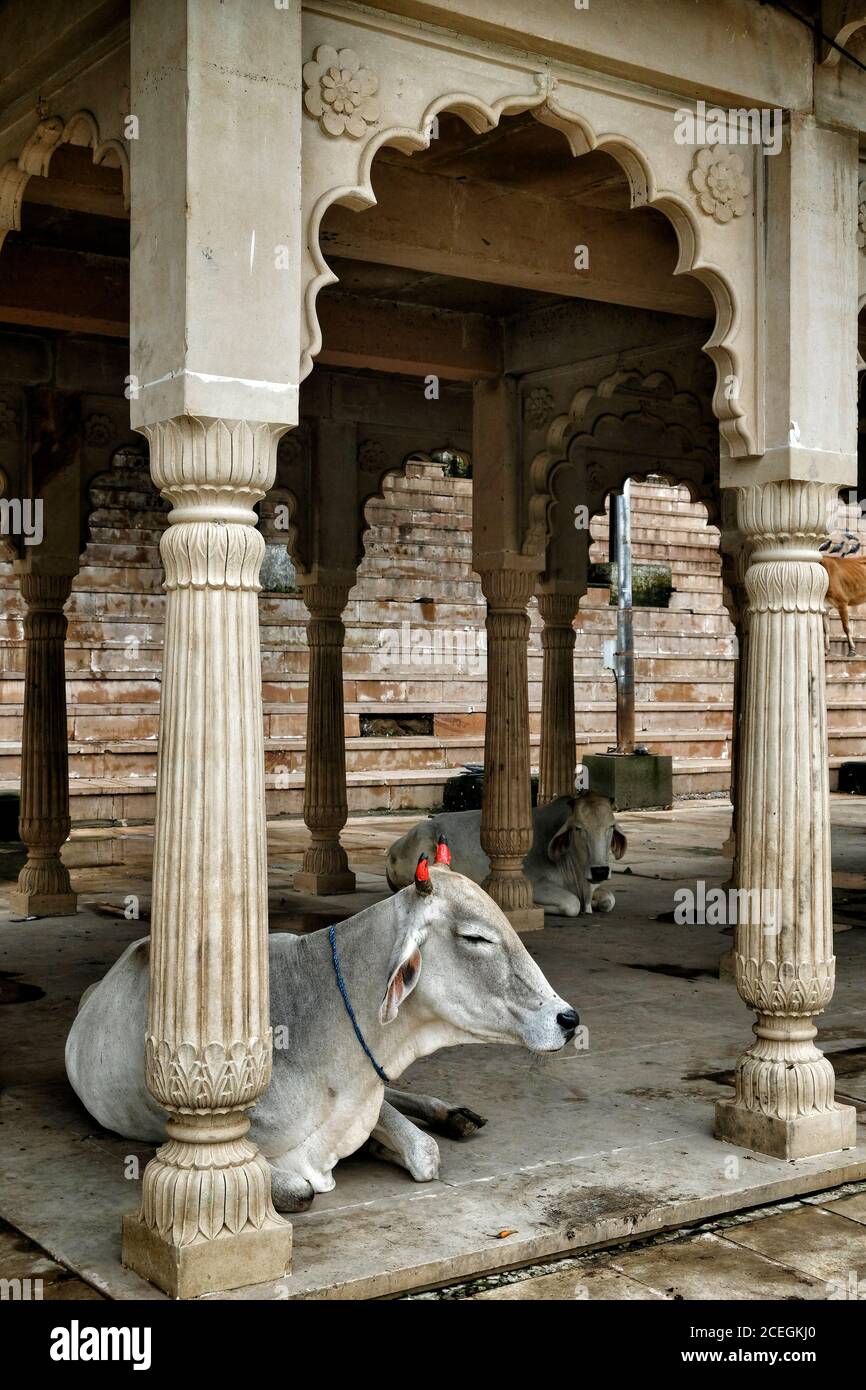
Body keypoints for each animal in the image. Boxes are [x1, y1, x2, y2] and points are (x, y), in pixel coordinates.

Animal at [65, 853, 578, 1213]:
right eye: (475, 937)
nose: (567, 1019)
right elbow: (299, 1191)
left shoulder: (366, 1088)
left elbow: (423, 1151)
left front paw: (394, 1139)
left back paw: (452, 1113)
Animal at [386, 792, 626, 917]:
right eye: (578, 828)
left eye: (611, 826)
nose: (600, 870)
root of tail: (394, 848)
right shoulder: (536, 883)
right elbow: (572, 904)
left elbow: (610, 899)